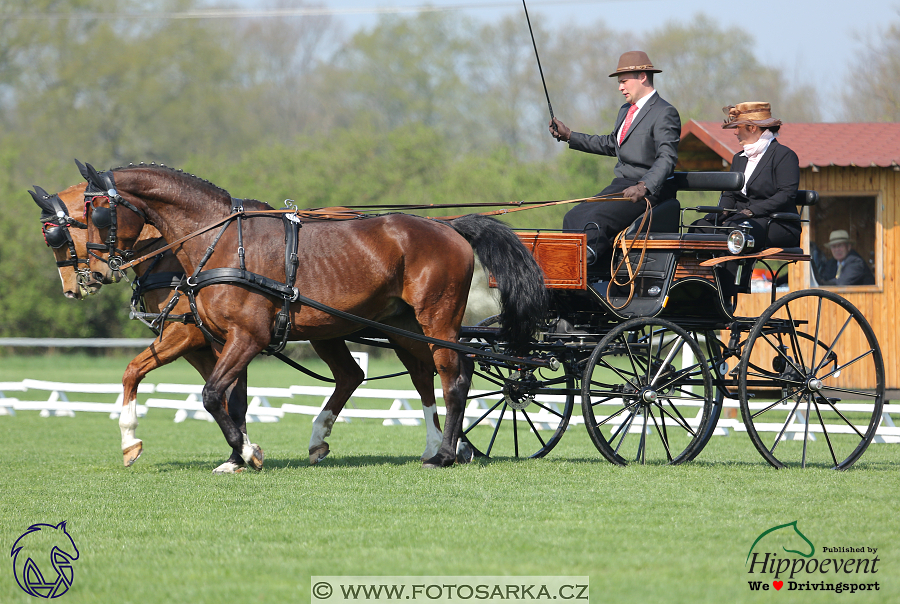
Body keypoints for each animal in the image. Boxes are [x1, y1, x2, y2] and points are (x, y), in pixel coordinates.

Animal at [82, 162, 548, 468]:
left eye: (98, 212)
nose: (95, 272)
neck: (222, 240)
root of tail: (450, 228)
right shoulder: (212, 336)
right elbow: (214, 393)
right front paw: (137, 442)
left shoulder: (246, 336)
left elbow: (213, 395)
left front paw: (248, 453)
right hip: (402, 325)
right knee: (426, 374)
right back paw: (435, 446)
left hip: (437, 318)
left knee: (453, 376)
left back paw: (446, 454)